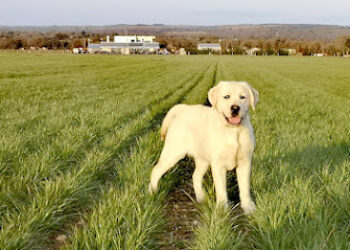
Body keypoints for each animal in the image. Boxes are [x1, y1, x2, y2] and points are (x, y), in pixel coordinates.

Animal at [149, 81, 258, 214]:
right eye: (226, 97)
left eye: (242, 97)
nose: (235, 108)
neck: (233, 131)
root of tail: (184, 108)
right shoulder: (218, 165)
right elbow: (222, 191)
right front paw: (222, 211)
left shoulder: (245, 162)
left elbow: (245, 189)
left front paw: (248, 208)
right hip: (173, 153)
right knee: (156, 170)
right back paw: (152, 193)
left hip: (203, 160)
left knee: (195, 176)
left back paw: (201, 197)